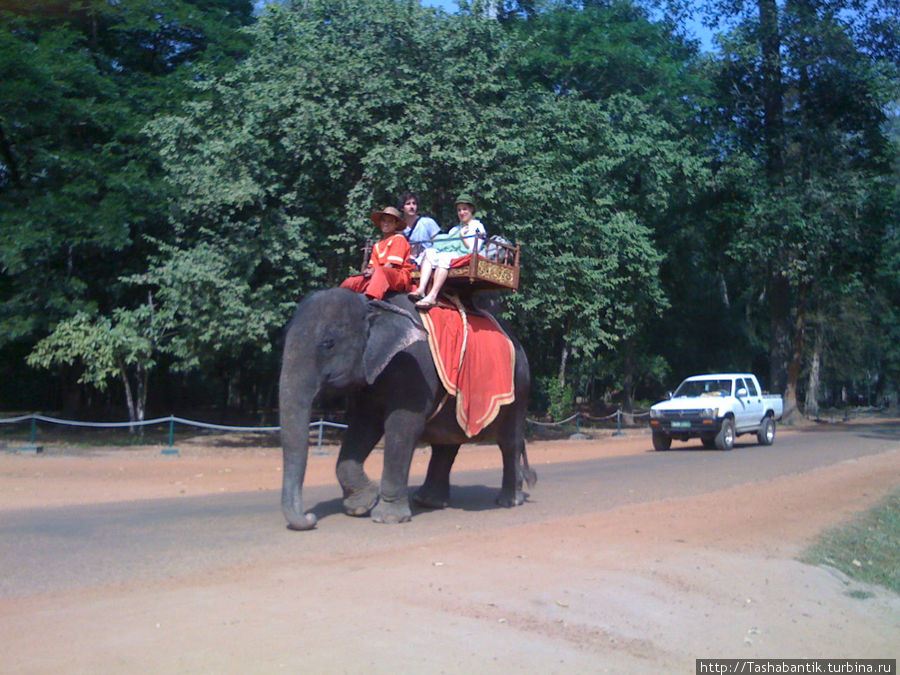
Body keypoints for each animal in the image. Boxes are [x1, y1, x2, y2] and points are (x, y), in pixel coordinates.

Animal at [280, 288, 536, 532]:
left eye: (328, 344)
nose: (310, 518)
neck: (372, 303)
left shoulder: (413, 368)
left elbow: (402, 427)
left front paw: (387, 518)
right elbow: (363, 426)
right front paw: (361, 505)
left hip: (519, 388)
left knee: (509, 443)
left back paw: (509, 501)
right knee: (446, 444)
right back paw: (429, 501)